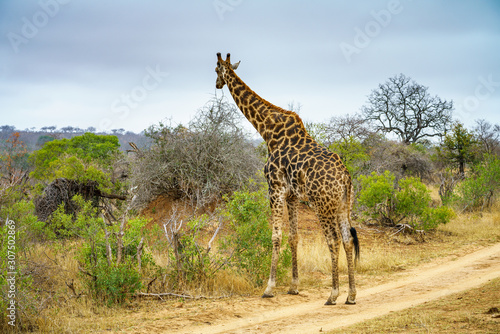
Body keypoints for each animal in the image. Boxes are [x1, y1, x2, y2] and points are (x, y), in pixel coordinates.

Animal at [215, 52, 360, 306]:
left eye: (215, 70)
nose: (216, 84)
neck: (268, 132)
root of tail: (344, 177)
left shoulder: (274, 187)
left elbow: (276, 236)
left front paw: (269, 287)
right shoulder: (292, 196)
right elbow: (294, 236)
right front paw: (294, 286)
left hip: (323, 205)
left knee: (333, 240)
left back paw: (333, 294)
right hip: (344, 204)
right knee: (347, 239)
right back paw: (351, 295)